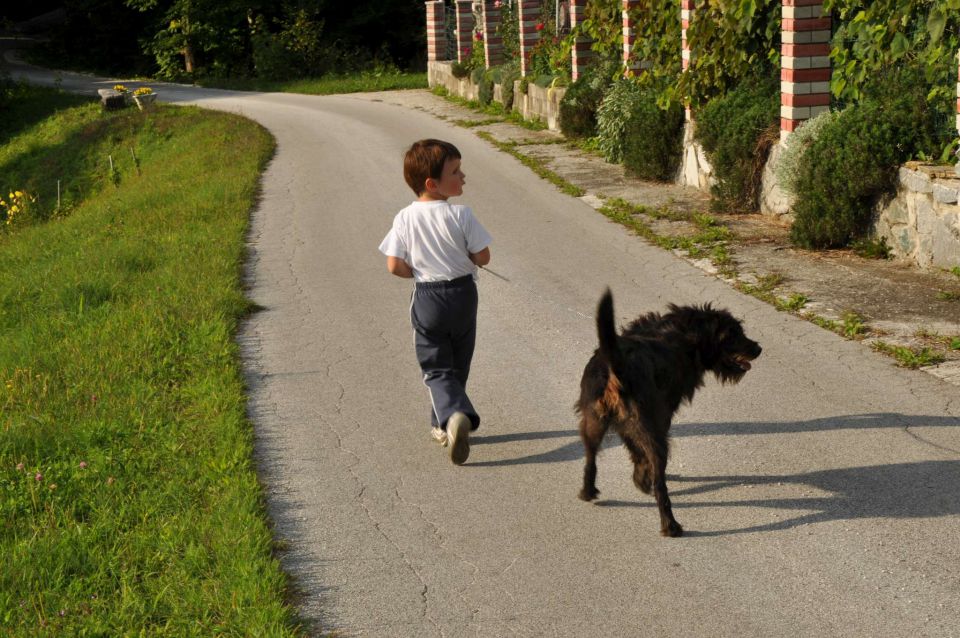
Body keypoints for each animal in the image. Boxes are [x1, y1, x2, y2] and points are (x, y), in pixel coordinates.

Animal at [572, 288, 760, 536]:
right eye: (733, 334)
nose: (758, 349)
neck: (686, 335)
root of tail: (614, 367)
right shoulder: (660, 417)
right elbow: (643, 457)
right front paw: (644, 478)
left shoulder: (626, 425)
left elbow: (634, 450)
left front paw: (640, 477)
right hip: (654, 434)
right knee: (661, 487)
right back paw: (670, 525)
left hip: (593, 421)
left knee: (590, 457)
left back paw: (588, 490)